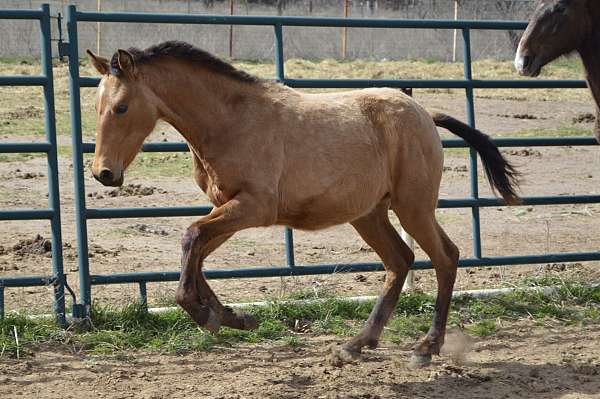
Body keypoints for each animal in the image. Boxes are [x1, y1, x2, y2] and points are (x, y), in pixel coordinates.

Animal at [85, 40, 520, 368]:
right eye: (97, 106)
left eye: (121, 107)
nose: (104, 173)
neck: (231, 120)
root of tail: (424, 113)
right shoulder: (229, 207)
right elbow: (196, 250)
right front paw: (233, 317)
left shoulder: (254, 208)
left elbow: (192, 238)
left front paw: (205, 315)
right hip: (370, 214)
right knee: (400, 260)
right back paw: (357, 344)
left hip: (413, 207)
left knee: (445, 257)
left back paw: (426, 348)